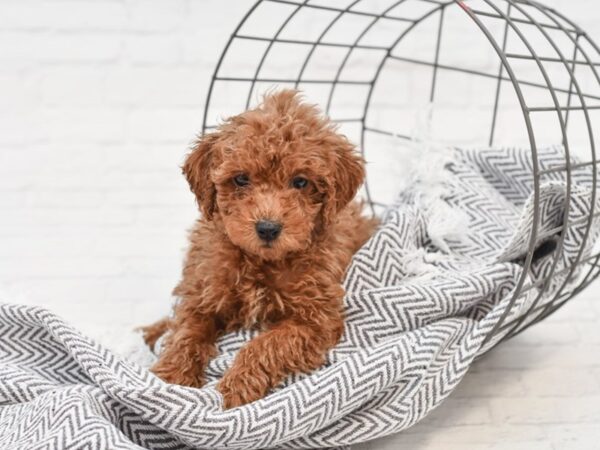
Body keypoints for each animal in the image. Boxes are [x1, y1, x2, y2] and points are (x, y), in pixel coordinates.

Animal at [140, 89, 376, 410]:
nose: (267, 228)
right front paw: (171, 378)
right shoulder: (202, 292)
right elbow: (185, 332)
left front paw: (236, 387)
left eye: (300, 182)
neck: (261, 262)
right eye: (241, 179)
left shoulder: (315, 319)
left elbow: (267, 344)